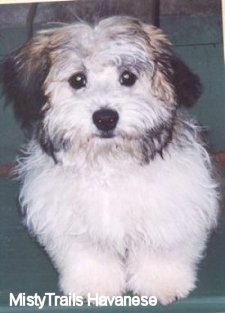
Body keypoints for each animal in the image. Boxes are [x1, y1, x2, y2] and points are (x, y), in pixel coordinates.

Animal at [2, 15, 219, 304]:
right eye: (77, 79)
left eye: (127, 77)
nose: (105, 118)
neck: (109, 162)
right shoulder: (74, 222)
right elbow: (90, 255)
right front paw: (94, 285)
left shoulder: (171, 210)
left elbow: (162, 250)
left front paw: (161, 282)